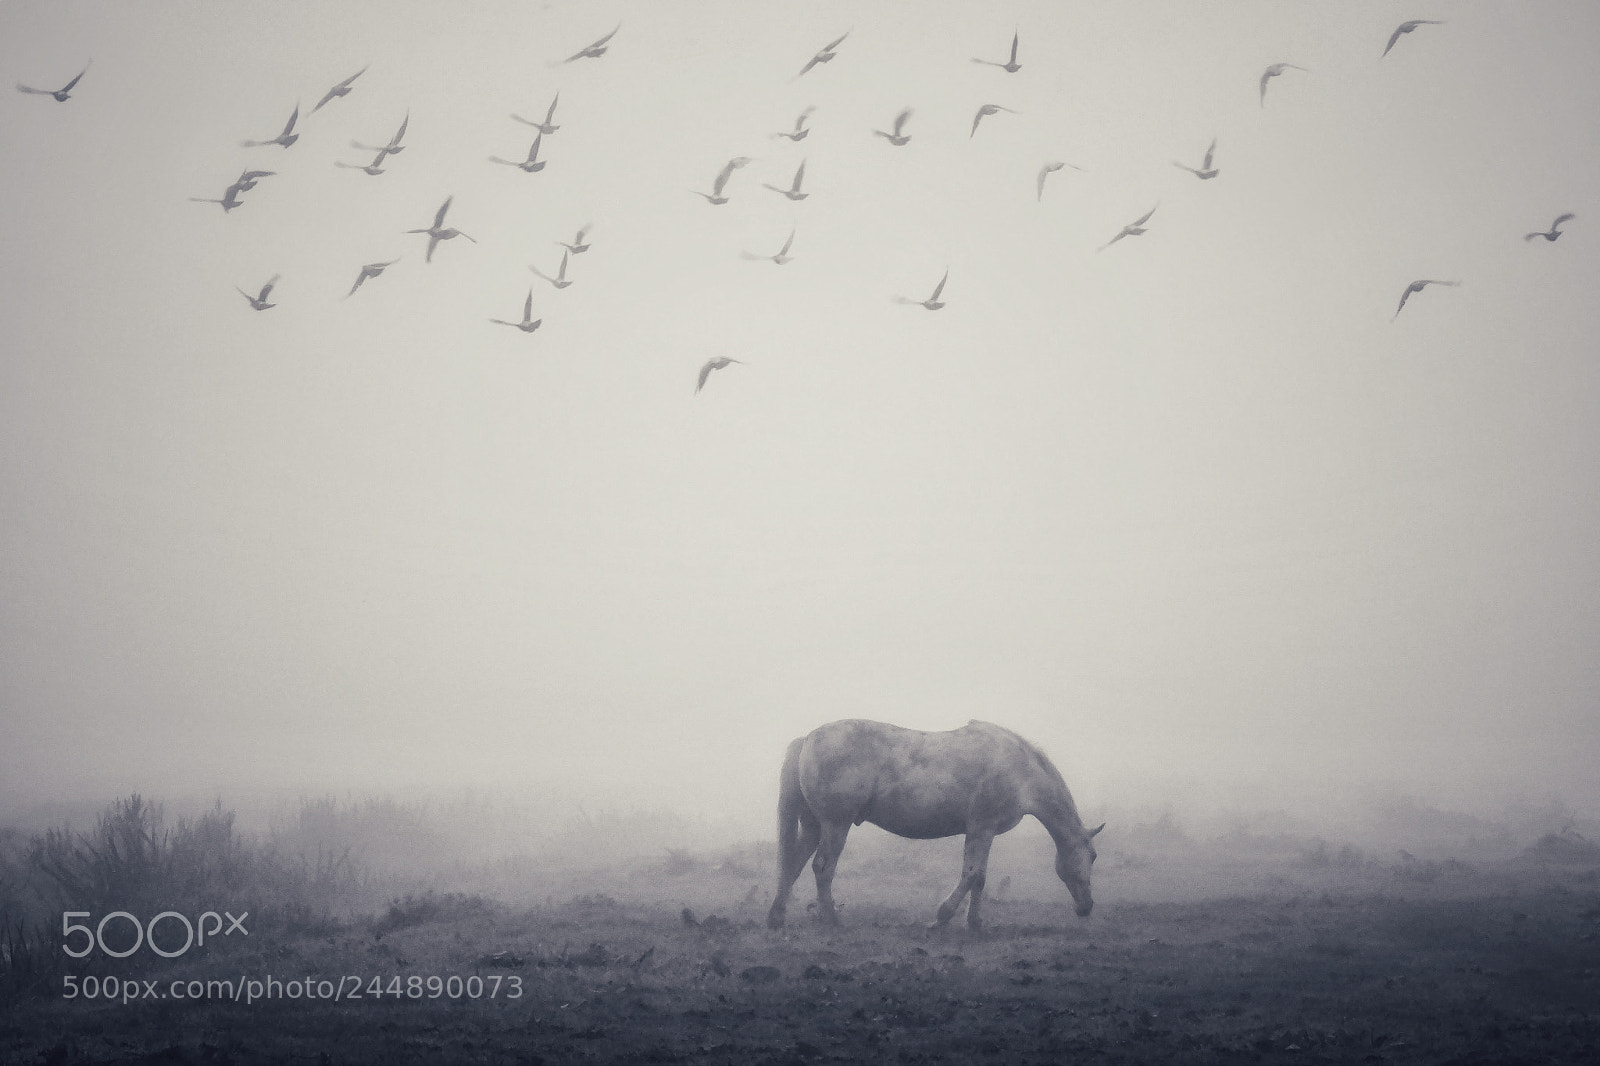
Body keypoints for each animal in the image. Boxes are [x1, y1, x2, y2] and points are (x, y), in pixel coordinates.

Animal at [766, 719, 1103, 931]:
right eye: (1094, 856)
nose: (1087, 907)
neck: (1020, 771)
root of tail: (808, 739)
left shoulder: (986, 832)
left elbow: (980, 878)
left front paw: (974, 922)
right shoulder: (981, 828)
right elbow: (971, 876)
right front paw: (941, 918)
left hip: (814, 826)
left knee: (793, 863)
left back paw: (777, 917)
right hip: (836, 825)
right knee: (823, 868)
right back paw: (832, 920)